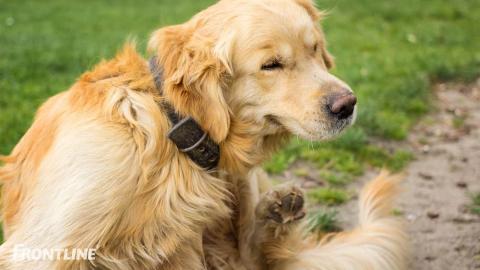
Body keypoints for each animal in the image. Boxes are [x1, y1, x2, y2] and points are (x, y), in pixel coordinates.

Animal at [0, 0, 408, 268]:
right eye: (271, 65)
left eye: (316, 50)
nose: (348, 105)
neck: (170, 125)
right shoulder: (47, 246)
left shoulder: (185, 243)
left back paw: (277, 212)